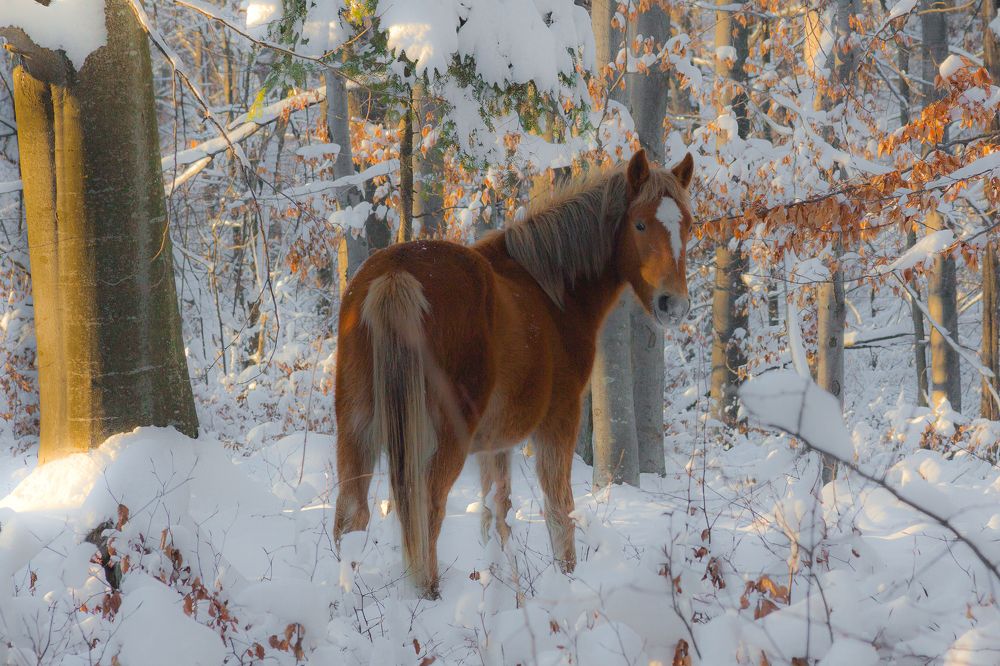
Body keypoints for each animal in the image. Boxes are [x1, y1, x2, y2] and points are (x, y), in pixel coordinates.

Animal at [333, 149, 694, 598]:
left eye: (688, 224)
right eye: (640, 223)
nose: (672, 305)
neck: (550, 293)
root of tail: (395, 274)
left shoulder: (495, 445)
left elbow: (496, 516)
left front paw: (504, 587)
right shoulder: (558, 422)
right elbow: (559, 511)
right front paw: (564, 582)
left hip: (356, 430)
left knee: (351, 517)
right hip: (441, 441)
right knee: (426, 512)